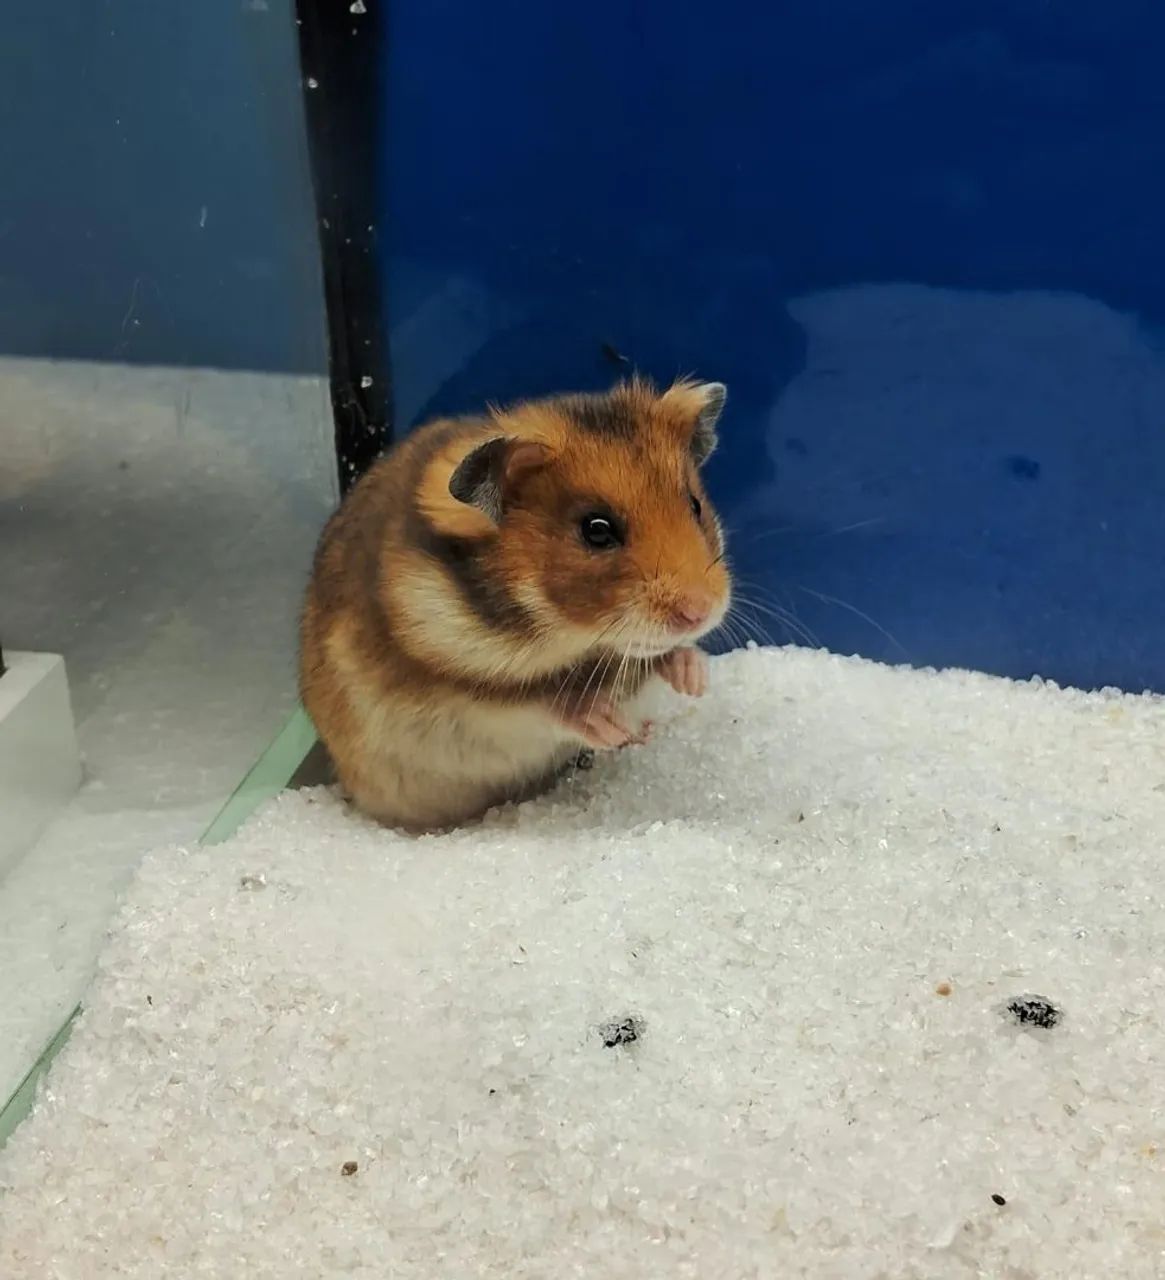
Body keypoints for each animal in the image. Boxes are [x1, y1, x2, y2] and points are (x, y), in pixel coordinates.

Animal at [299, 375, 732, 833]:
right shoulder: (466, 700)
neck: (570, 638)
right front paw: (609, 725)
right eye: (596, 530)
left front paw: (694, 679)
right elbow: (544, 703)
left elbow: (662, 659)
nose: (700, 612)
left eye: (695, 505)